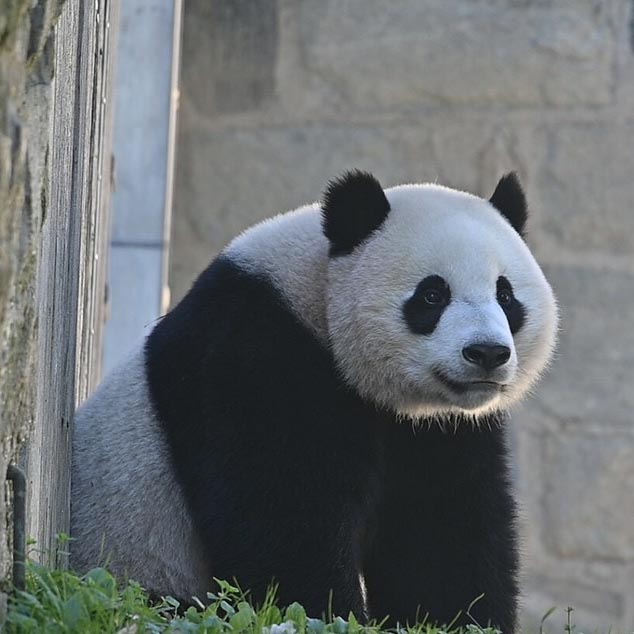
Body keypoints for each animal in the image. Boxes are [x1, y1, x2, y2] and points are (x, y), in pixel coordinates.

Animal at [70, 170, 556, 628]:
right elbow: (282, 509)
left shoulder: (438, 430)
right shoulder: (253, 355)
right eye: (433, 294)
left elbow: (441, 527)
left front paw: (456, 619)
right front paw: (327, 611)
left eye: (505, 295)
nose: (487, 353)